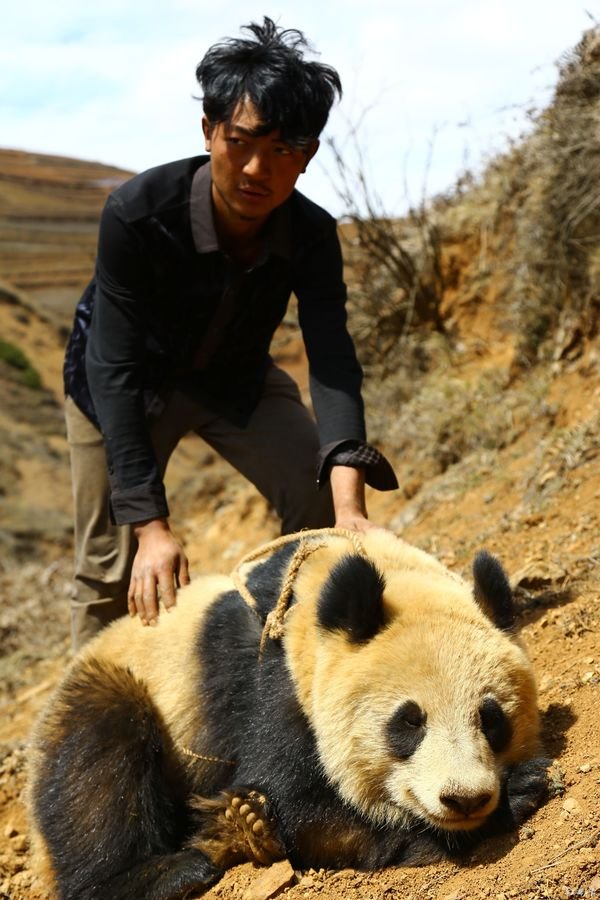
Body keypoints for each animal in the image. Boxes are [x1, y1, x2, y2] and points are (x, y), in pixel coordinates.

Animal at [27, 528, 549, 900]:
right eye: (409, 722)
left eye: (491, 720)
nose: (465, 799)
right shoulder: (272, 681)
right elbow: (301, 807)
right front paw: (512, 797)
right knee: (95, 771)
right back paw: (171, 870)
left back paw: (239, 828)